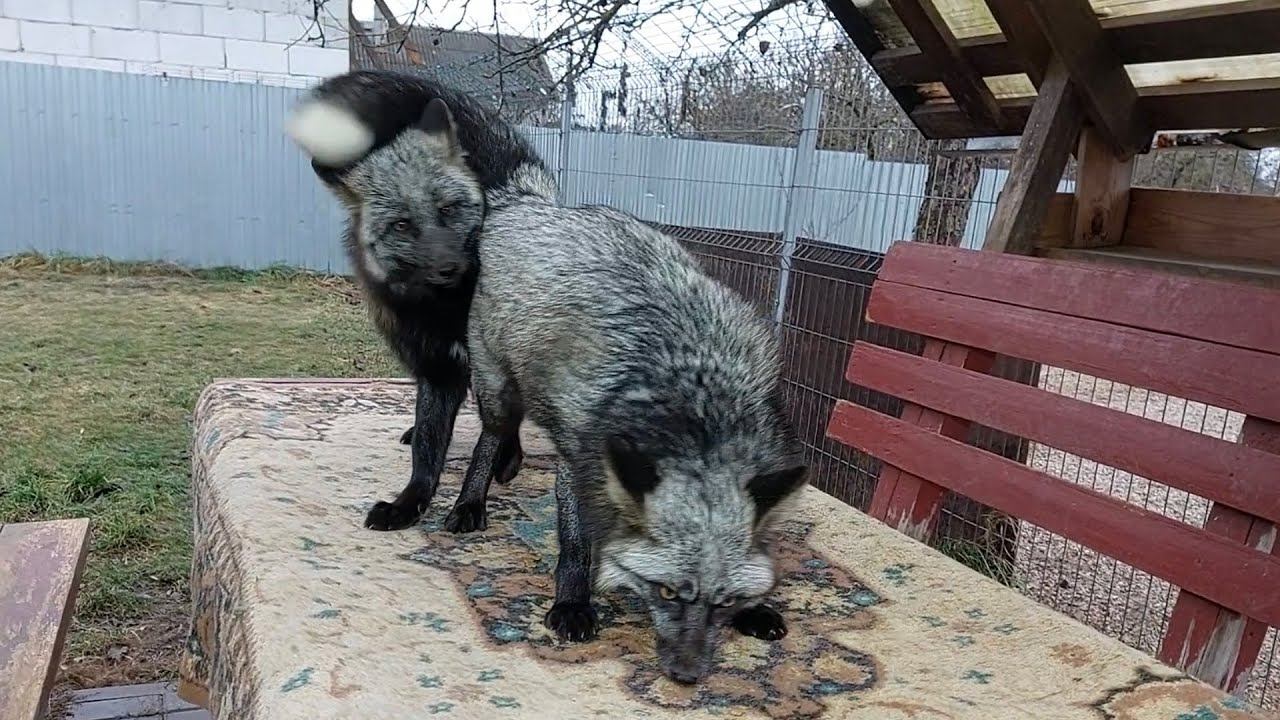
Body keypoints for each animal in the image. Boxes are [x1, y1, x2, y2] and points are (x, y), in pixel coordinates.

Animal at [289, 71, 557, 533]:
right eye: (402, 225)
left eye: (449, 209)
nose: (449, 267)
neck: (450, 312)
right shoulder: (436, 368)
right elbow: (427, 454)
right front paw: (410, 503)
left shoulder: (488, 370)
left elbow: (482, 450)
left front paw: (470, 504)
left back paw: (510, 458)